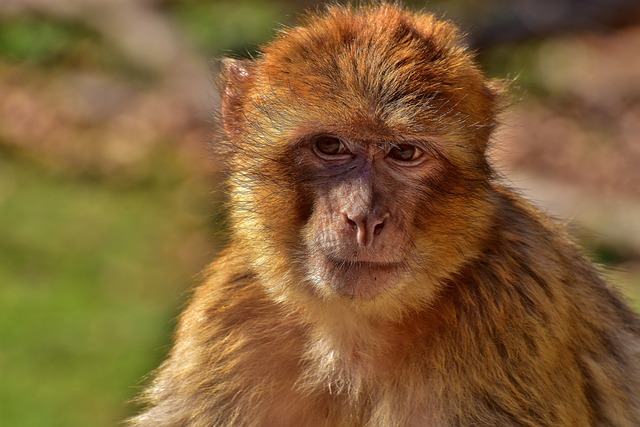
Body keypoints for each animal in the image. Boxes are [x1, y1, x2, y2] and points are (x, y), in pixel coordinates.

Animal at [130, 3, 640, 427]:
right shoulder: (229, 317)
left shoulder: (511, 307)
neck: (352, 332)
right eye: (331, 145)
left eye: (405, 152)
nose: (363, 218)